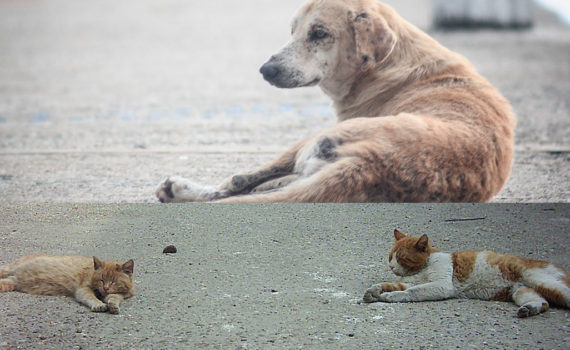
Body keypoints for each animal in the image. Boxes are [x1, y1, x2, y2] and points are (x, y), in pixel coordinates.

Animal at [0, 253, 135, 314]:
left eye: (114, 281)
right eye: (101, 280)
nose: (106, 288)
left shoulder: (120, 294)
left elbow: (114, 297)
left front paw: (113, 305)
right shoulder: (83, 289)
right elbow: (91, 297)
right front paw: (98, 304)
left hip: (10, 283)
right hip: (9, 269)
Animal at [155, 0, 516, 202]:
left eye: (319, 34)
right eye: (292, 31)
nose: (265, 70)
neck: (390, 62)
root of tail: (371, 164)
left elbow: (241, 180)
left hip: (312, 140)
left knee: (235, 184)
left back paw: (180, 191)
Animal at [362, 230, 564, 318]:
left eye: (401, 258)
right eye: (390, 256)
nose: (391, 266)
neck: (423, 268)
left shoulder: (441, 286)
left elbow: (409, 292)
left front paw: (389, 296)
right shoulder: (413, 282)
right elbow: (395, 285)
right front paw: (375, 290)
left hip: (547, 284)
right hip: (521, 291)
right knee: (543, 303)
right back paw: (529, 309)